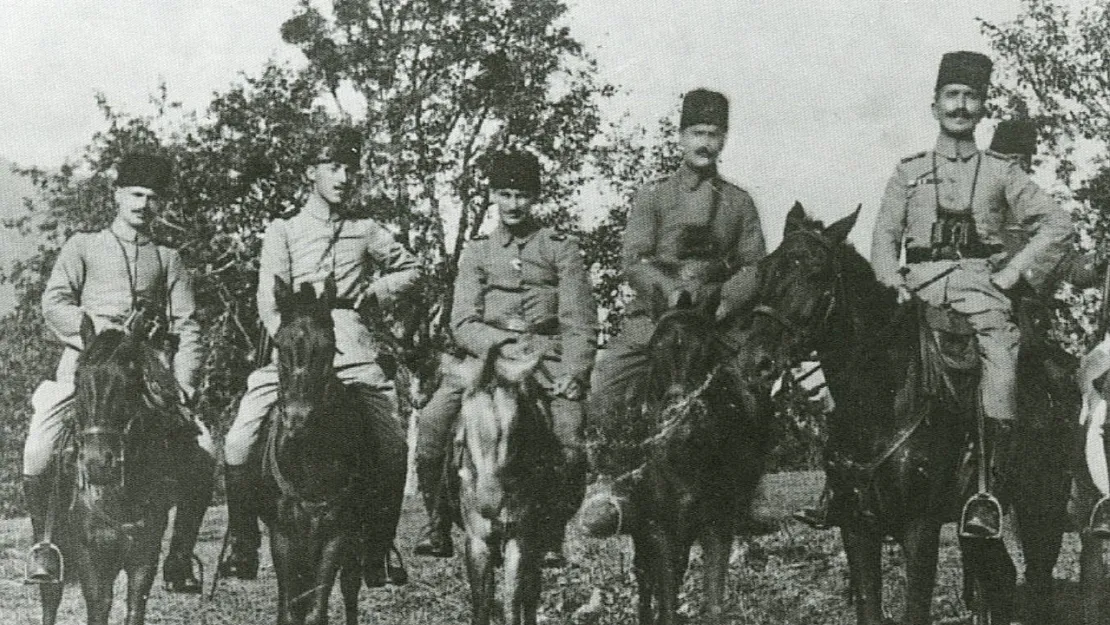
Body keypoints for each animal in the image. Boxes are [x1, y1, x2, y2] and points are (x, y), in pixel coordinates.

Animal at [255, 277, 408, 625]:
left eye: (328, 348)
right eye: (280, 347)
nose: (298, 418)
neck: (307, 456)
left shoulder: (337, 533)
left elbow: (317, 609)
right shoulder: (282, 535)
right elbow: (290, 608)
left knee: (350, 587)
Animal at [450, 337, 555, 625]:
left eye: (517, 429)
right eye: (463, 429)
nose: (489, 503)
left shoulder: (519, 539)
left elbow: (512, 601)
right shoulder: (477, 541)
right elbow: (482, 603)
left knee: (530, 593)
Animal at [732, 203, 1070, 621]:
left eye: (816, 271)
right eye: (765, 270)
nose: (756, 362)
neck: (879, 403)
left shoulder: (920, 527)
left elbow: (916, 609)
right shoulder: (857, 526)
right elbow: (869, 606)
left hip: (1043, 507)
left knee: (1038, 583)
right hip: (976, 527)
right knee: (1001, 581)